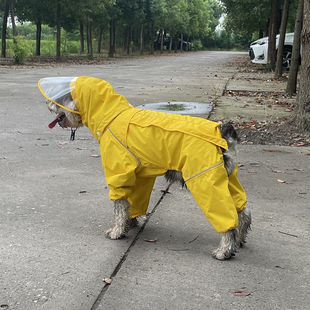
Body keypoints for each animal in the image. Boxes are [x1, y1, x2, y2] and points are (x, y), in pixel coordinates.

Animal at [39, 76, 252, 260]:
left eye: (62, 97)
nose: (47, 104)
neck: (111, 115)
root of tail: (223, 131)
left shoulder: (118, 176)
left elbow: (120, 207)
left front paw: (117, 231)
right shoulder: (140, 176)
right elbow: (132, 202)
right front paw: (129, 224)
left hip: (205, 181)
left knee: (227, 220)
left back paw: (224, 250)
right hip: (228, 180)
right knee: (243, 212)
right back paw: (239, 241)